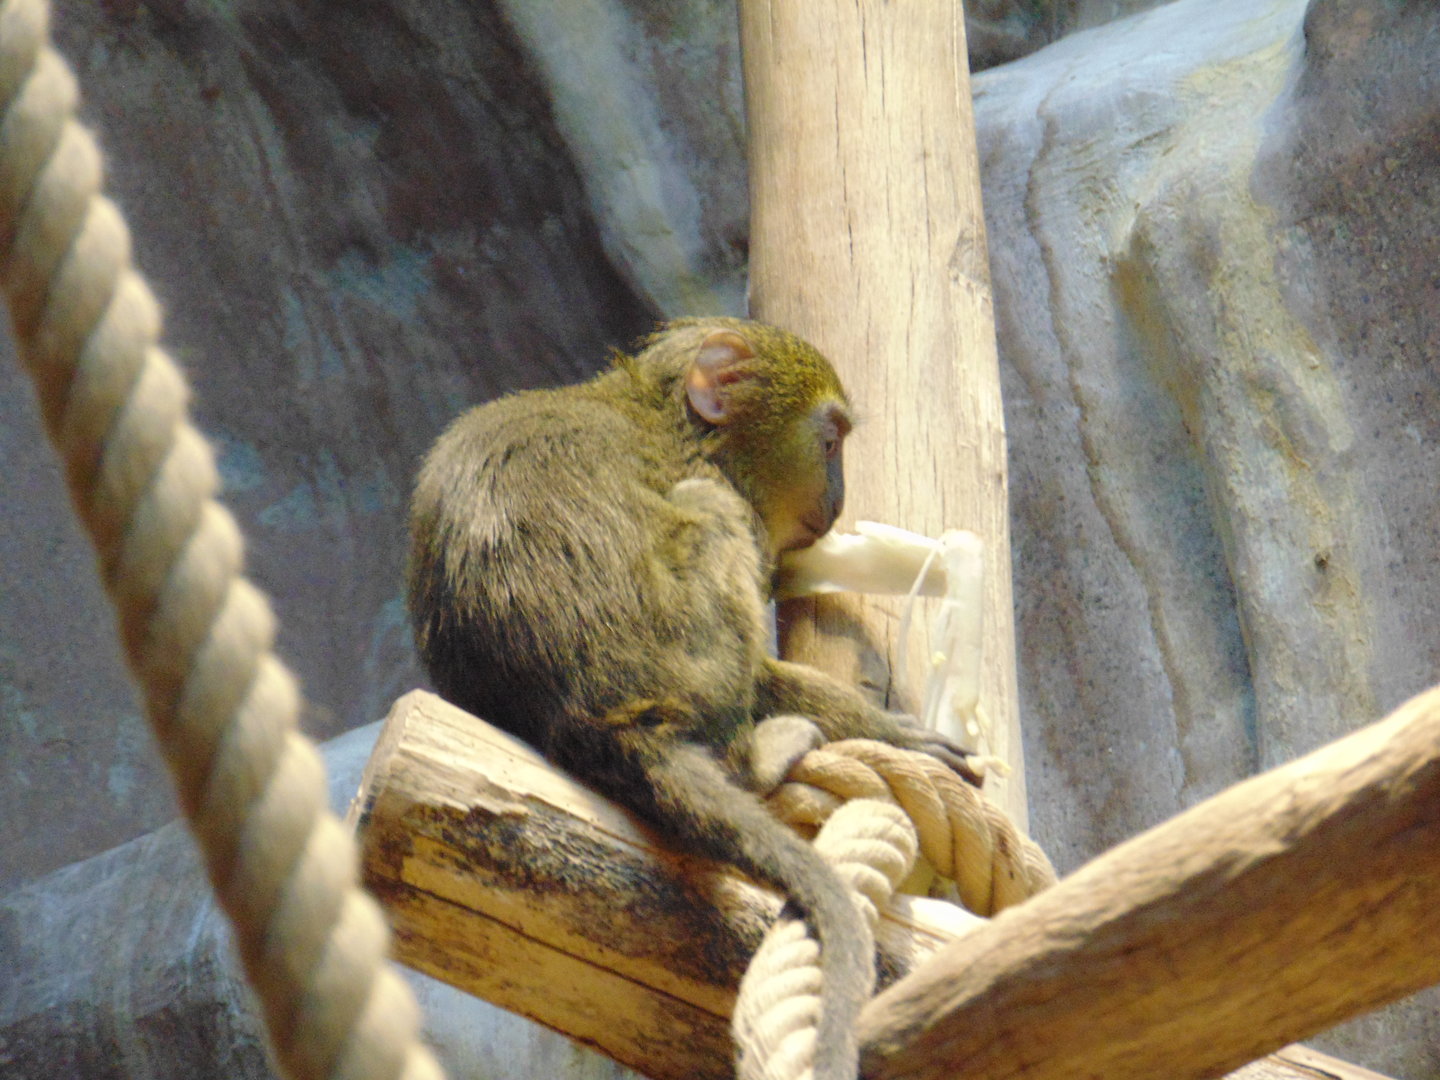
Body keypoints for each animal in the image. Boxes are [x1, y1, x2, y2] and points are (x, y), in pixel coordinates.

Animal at [406, 317, 976, 1079]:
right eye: (829, 443)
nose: (838, 499)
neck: (676, 424)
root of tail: (598, 718)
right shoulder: (718, 489)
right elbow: (760, 667)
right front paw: (892, 732)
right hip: (683, 654)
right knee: (712, 533)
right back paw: (757, 761)